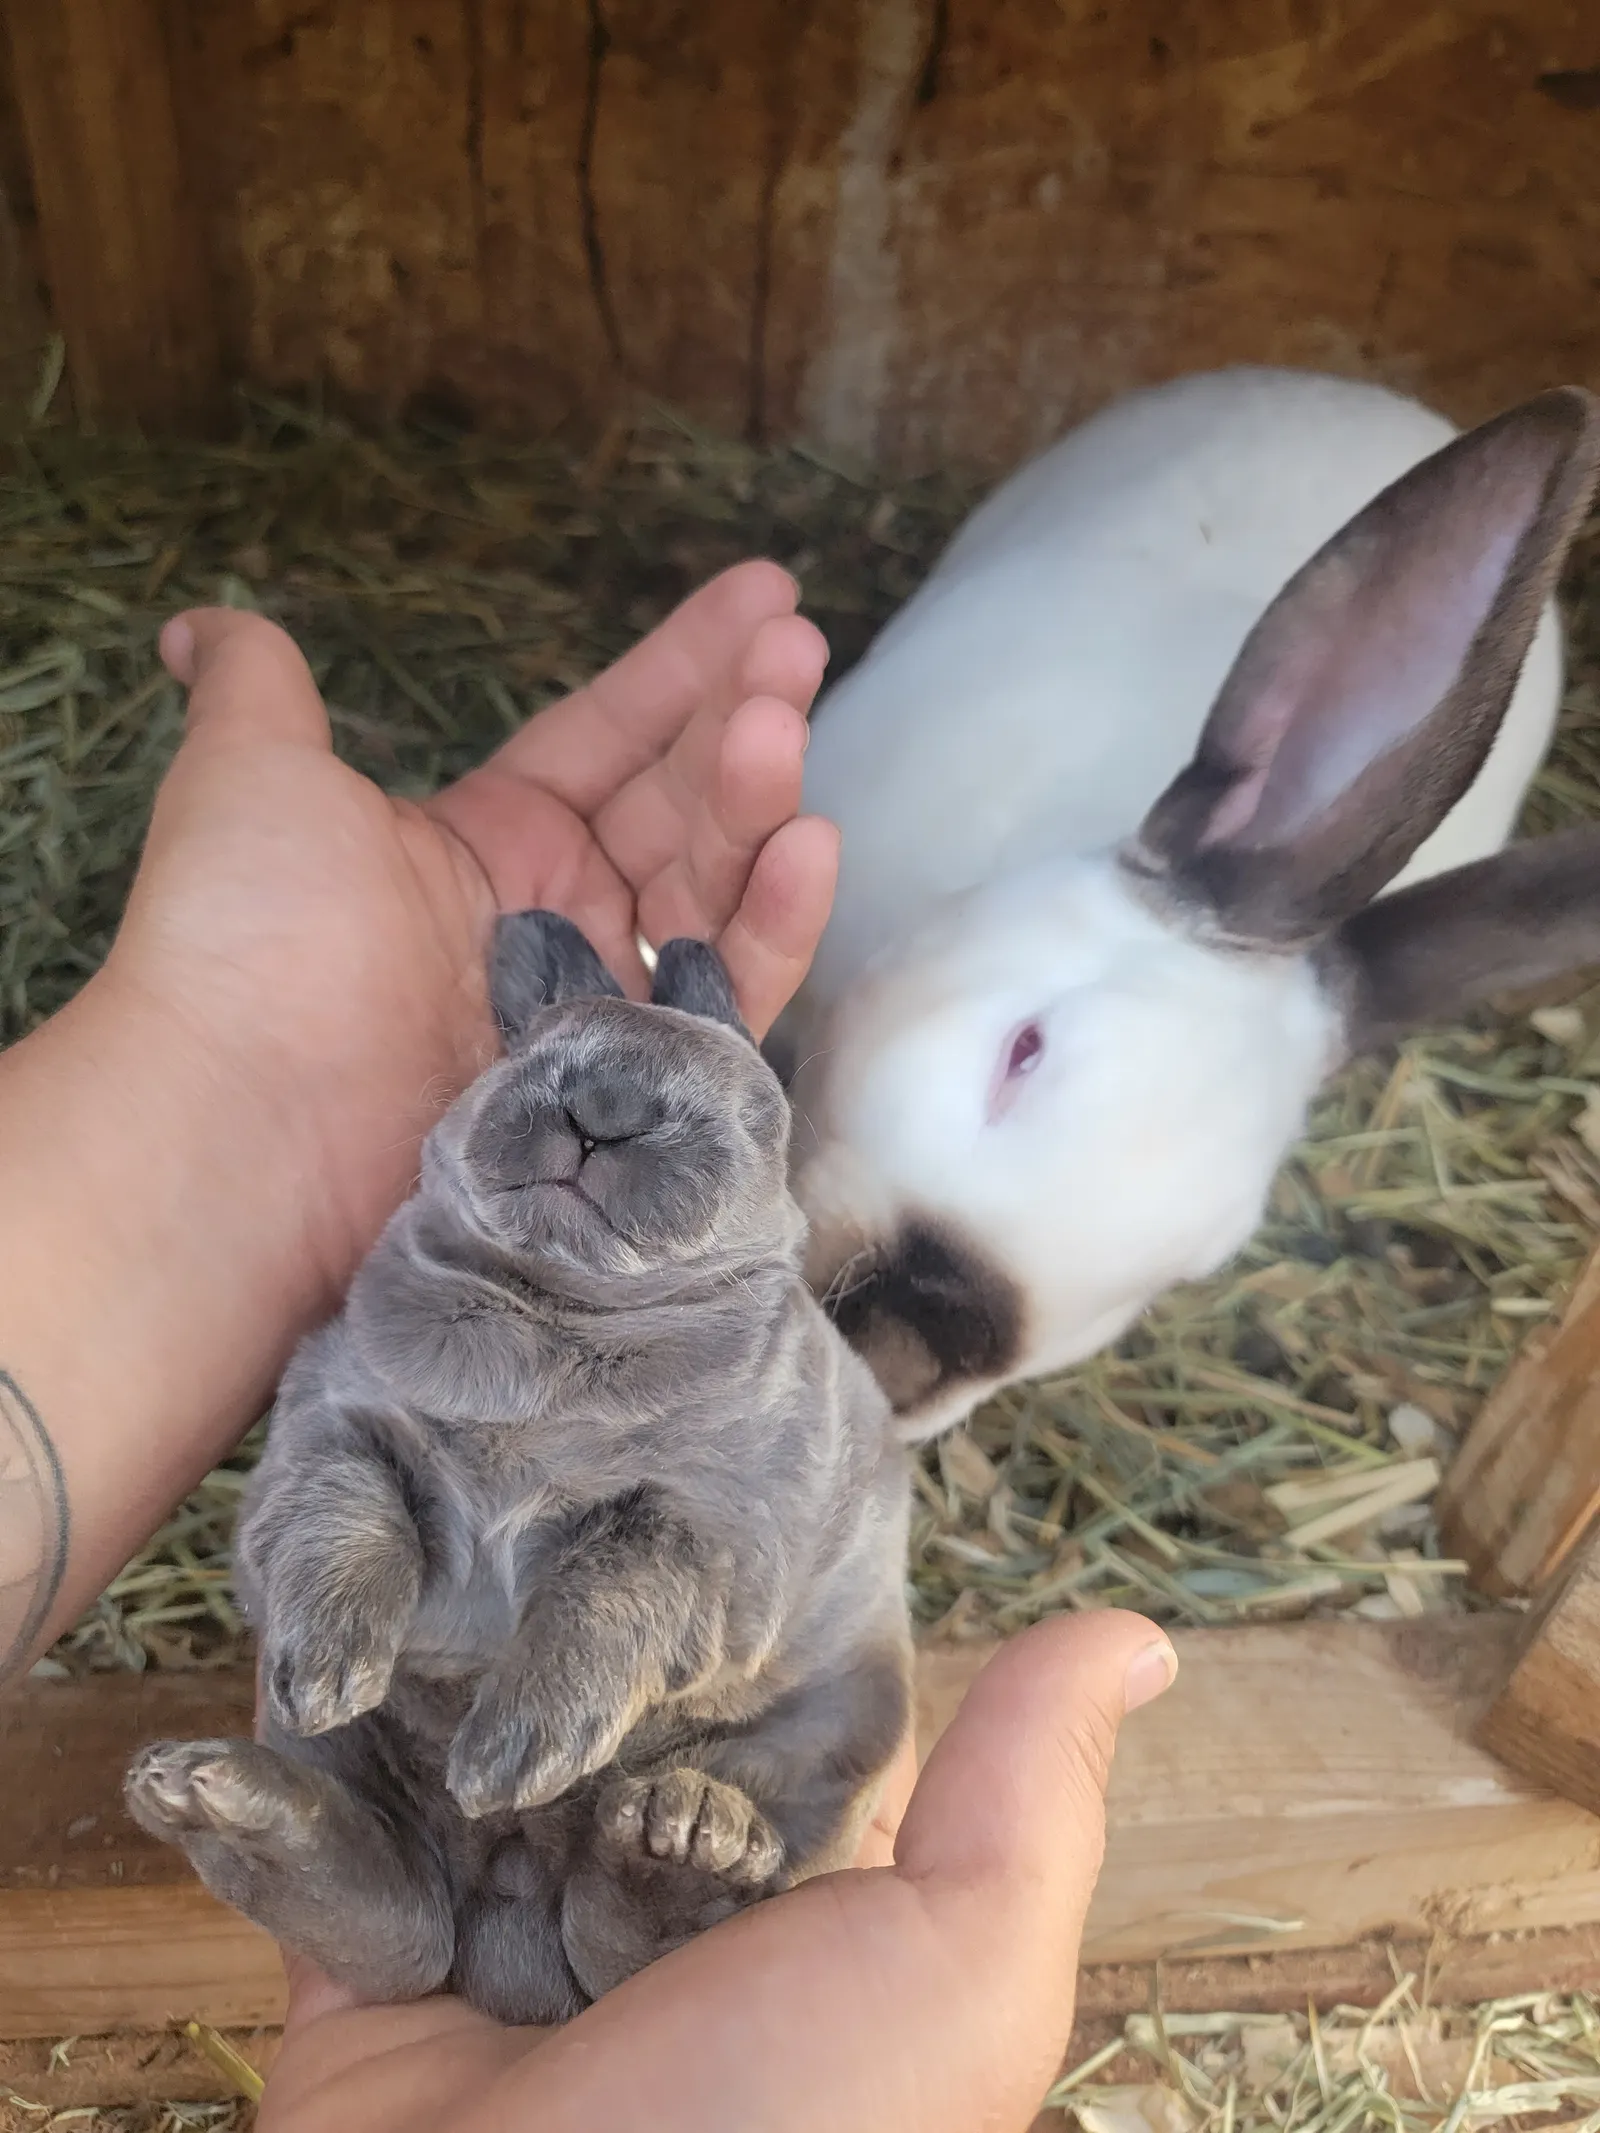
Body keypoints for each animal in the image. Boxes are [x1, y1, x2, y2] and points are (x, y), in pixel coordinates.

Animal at [124, 912, 911, 2024]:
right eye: (534, 1051)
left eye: (761, 1117)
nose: (604, 1111)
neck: (557, 1309)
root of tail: (507, 1920)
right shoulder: (339, 1422)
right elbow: (351, 1520)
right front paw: (325, 1665)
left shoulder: (710, 1524)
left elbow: (603, 1595)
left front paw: (511, 1750)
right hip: (369, 1799)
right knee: (398, 1919)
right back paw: (210, 1795)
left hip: (827, 1749)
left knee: (634, 1942)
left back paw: (682, 1841)